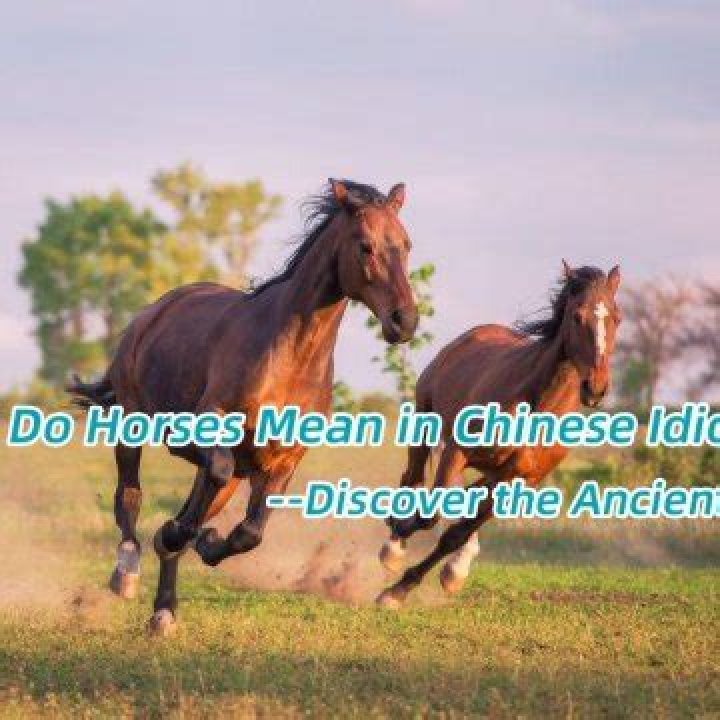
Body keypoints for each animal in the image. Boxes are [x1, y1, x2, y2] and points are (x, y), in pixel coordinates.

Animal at [69, 179, 418, 635]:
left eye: (406, 245)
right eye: (365, 246)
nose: (404, 321)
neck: (289, 358)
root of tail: (155, 310)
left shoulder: (283, 460)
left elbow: (250, 532)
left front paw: (205, 541)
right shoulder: (208, 427)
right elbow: (199, 494)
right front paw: (180, 535)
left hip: (230, 472)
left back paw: (164, 610)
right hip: (132, 423)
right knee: (128, 495)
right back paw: (127, 571)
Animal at [376, 261, 621, 607]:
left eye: (617, 317)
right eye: (577, 315)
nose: (595, 388)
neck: (535, 407)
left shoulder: (519, 480)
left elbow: (456, 534)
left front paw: (401, 589)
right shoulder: (456, 452)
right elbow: (430, 515)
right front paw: (398, 549)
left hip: (492, 472)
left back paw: (452, 568)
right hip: (425, 424)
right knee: (412, 477)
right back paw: (393, 548)